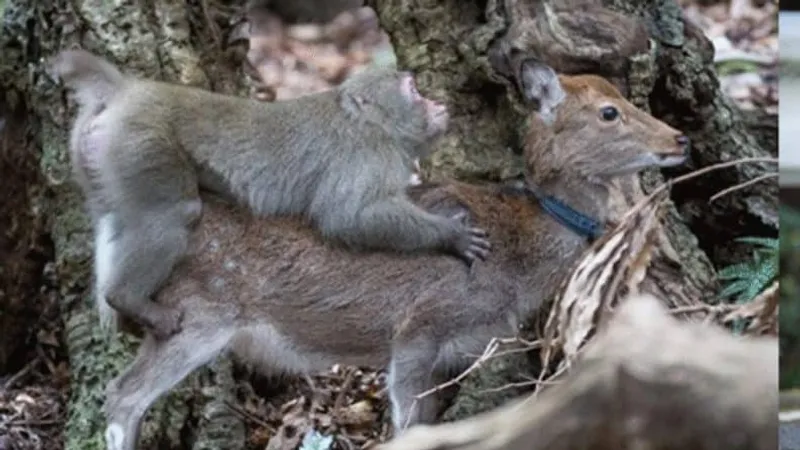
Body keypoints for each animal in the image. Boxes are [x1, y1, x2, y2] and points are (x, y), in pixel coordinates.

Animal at [51, 48, 488, 338]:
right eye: (412, 89)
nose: (435, 102)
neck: (371, 123)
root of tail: (127, 91)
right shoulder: (366, 153)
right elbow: (347, 216)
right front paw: (451, 234)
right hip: (141, 142)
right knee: (175, 213)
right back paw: (129, 298)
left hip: (99, 153)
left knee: (113, 218)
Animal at [98, 62, 688, 450]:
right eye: (609, 113)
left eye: (623, 97)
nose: (679, 139)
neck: (514, 260)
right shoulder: (419, 326)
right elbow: (407, 427)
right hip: (197, 314)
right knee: (121, 396)